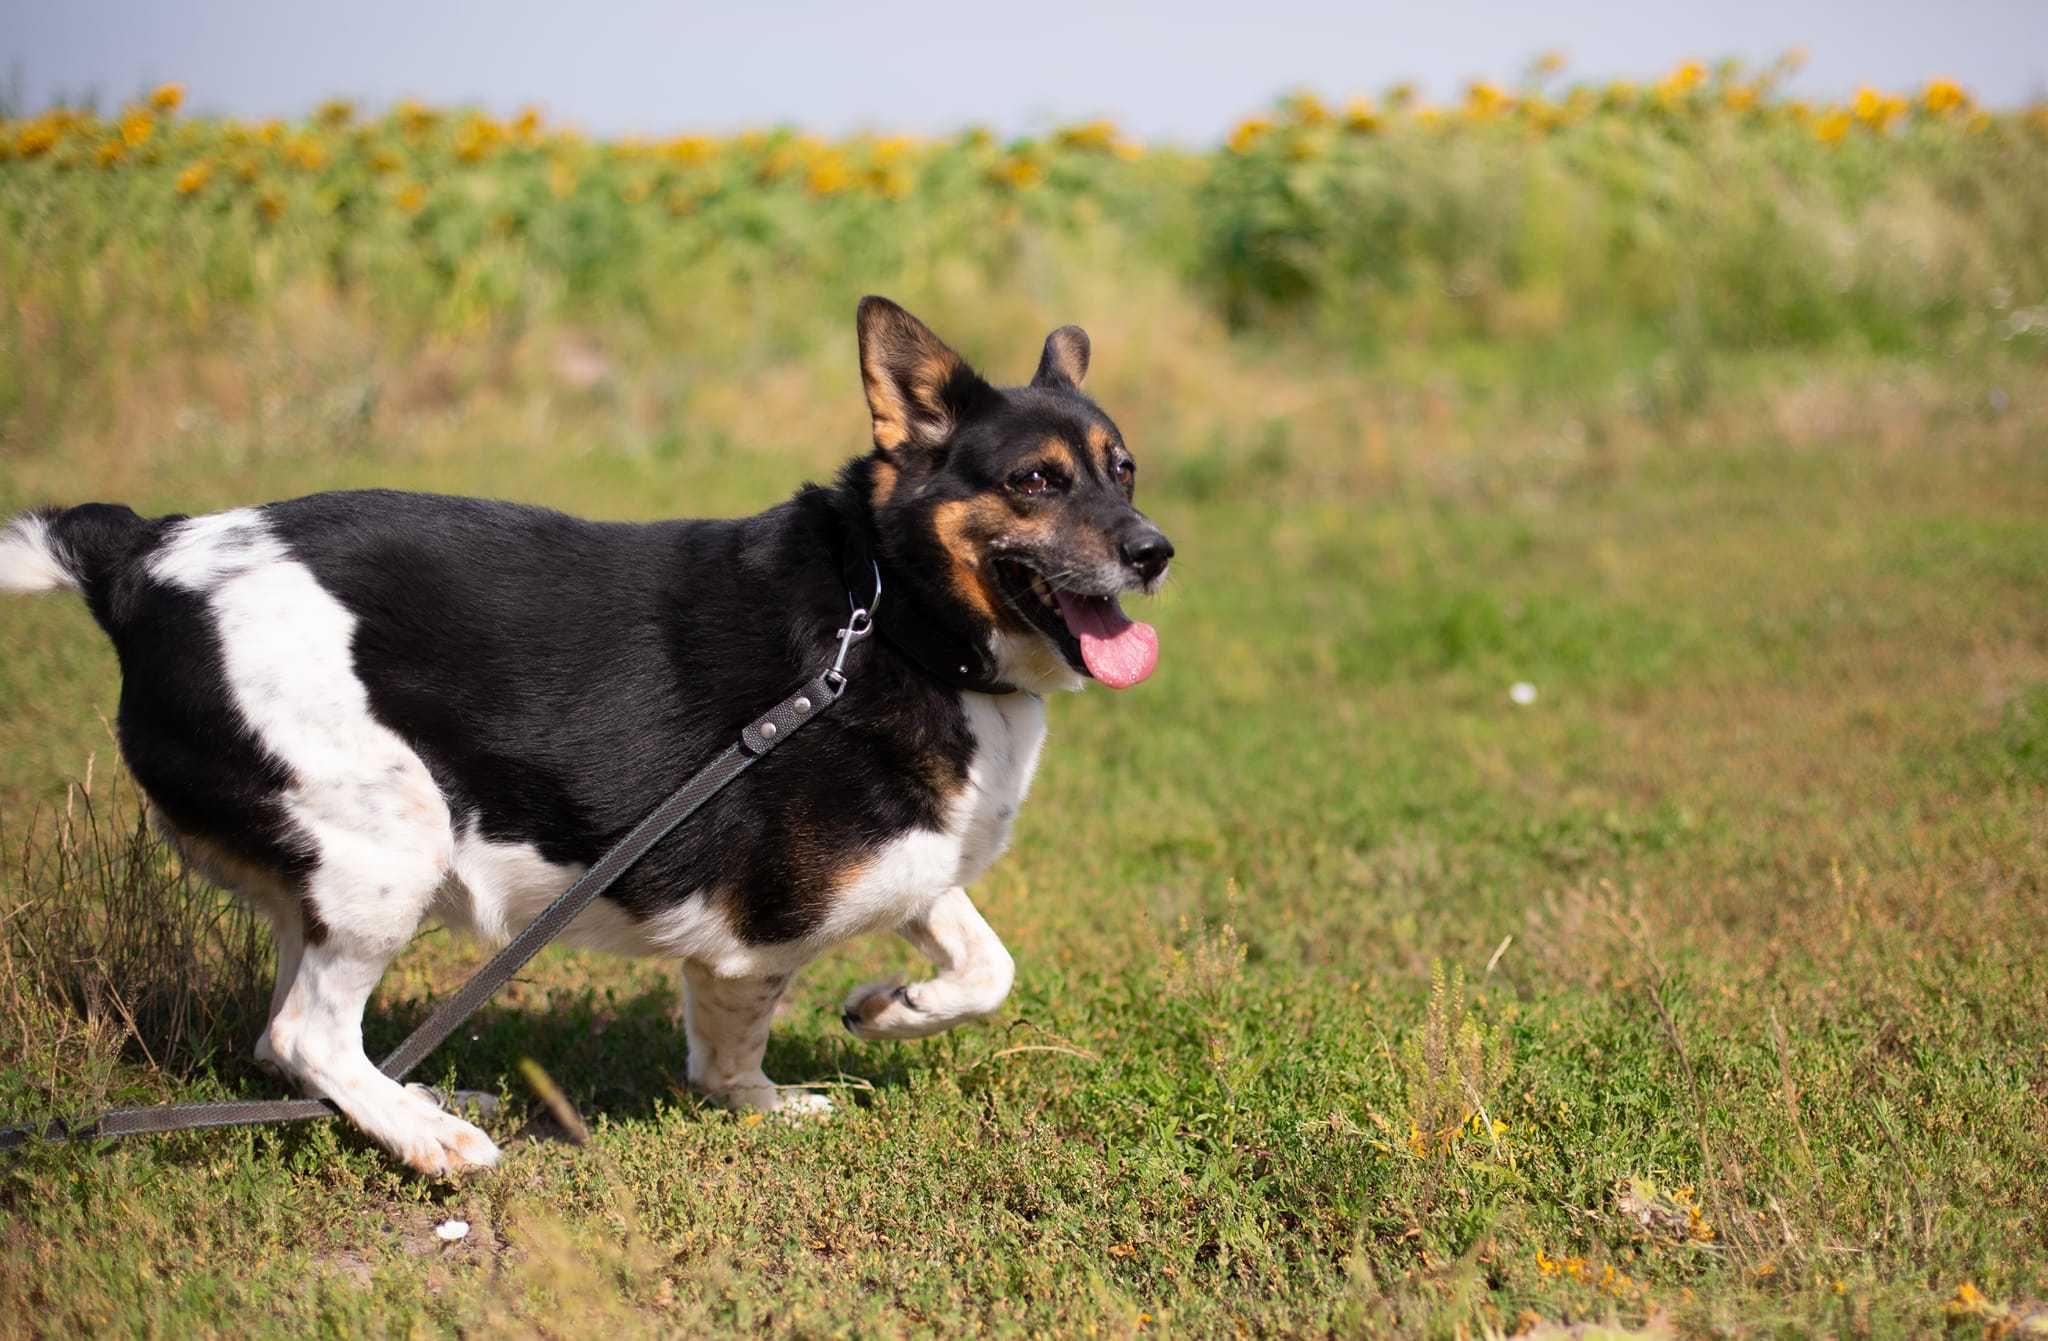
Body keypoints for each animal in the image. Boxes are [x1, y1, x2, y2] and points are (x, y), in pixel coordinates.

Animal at [0, 300, 1179, 1179]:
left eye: (1122, 469)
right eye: (1034, 480)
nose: (1155, 552)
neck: (888, 609)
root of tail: (143, 552)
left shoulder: (908, 858)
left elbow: (987, 964)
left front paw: (892, 1007)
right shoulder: (771, 924)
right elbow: (734, 1035)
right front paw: (760, 1098)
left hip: (325, 871)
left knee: (290, 1037)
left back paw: (414, 1095)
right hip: (392, 841)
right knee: (305, 1035)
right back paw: (432, 1137)